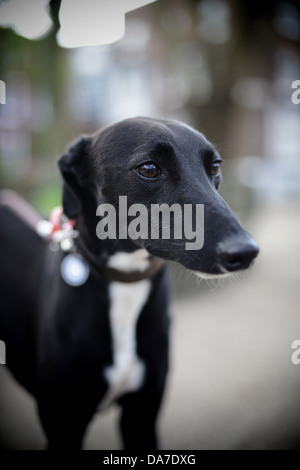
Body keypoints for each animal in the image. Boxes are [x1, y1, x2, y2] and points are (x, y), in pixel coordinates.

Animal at [0, 116, 258, 448]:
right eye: (148, 168)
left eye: (214, 167)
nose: (245, 252)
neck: (125, 285)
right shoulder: (64, 423)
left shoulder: (142, 415)